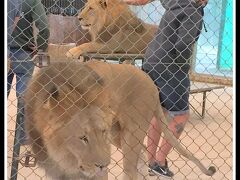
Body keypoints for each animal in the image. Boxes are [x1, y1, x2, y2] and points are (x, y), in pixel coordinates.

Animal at [24, 60, 216, 179]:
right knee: (143, 153)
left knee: (131, 170)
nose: (103, 165)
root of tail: (151, 83)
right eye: (83, 138)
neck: (62, 154)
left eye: (102, 132)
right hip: (118, 135)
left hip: (132, 133)